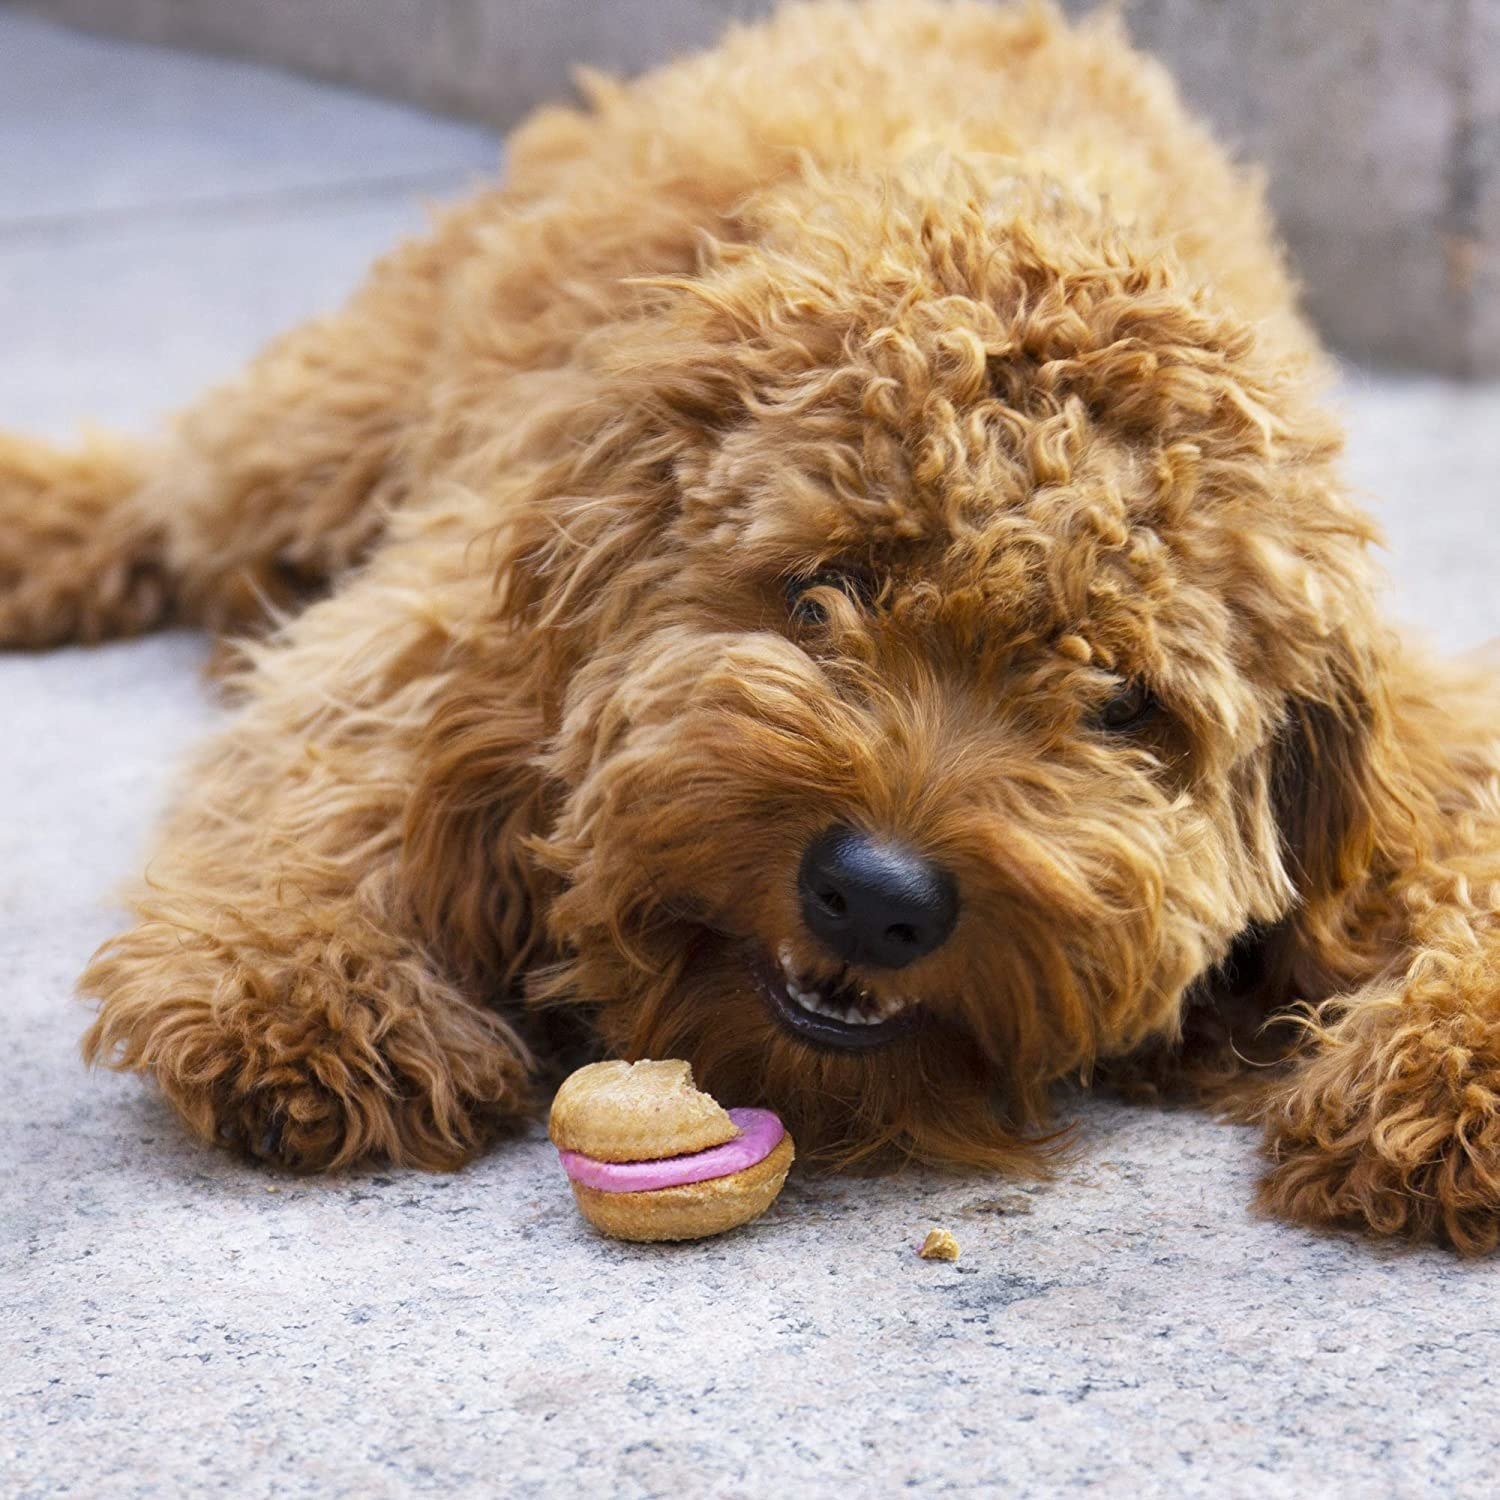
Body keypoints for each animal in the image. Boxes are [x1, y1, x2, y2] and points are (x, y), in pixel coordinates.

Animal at [2, 0, 1500, 1248]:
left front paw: (1443, 1083)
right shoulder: (457, 603)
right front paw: (309, 991)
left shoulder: (1415, 741)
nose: (877, 897)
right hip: (344, 418)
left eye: (1124, 701)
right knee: (183, 486)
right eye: (822, 589)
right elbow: (338, 759)